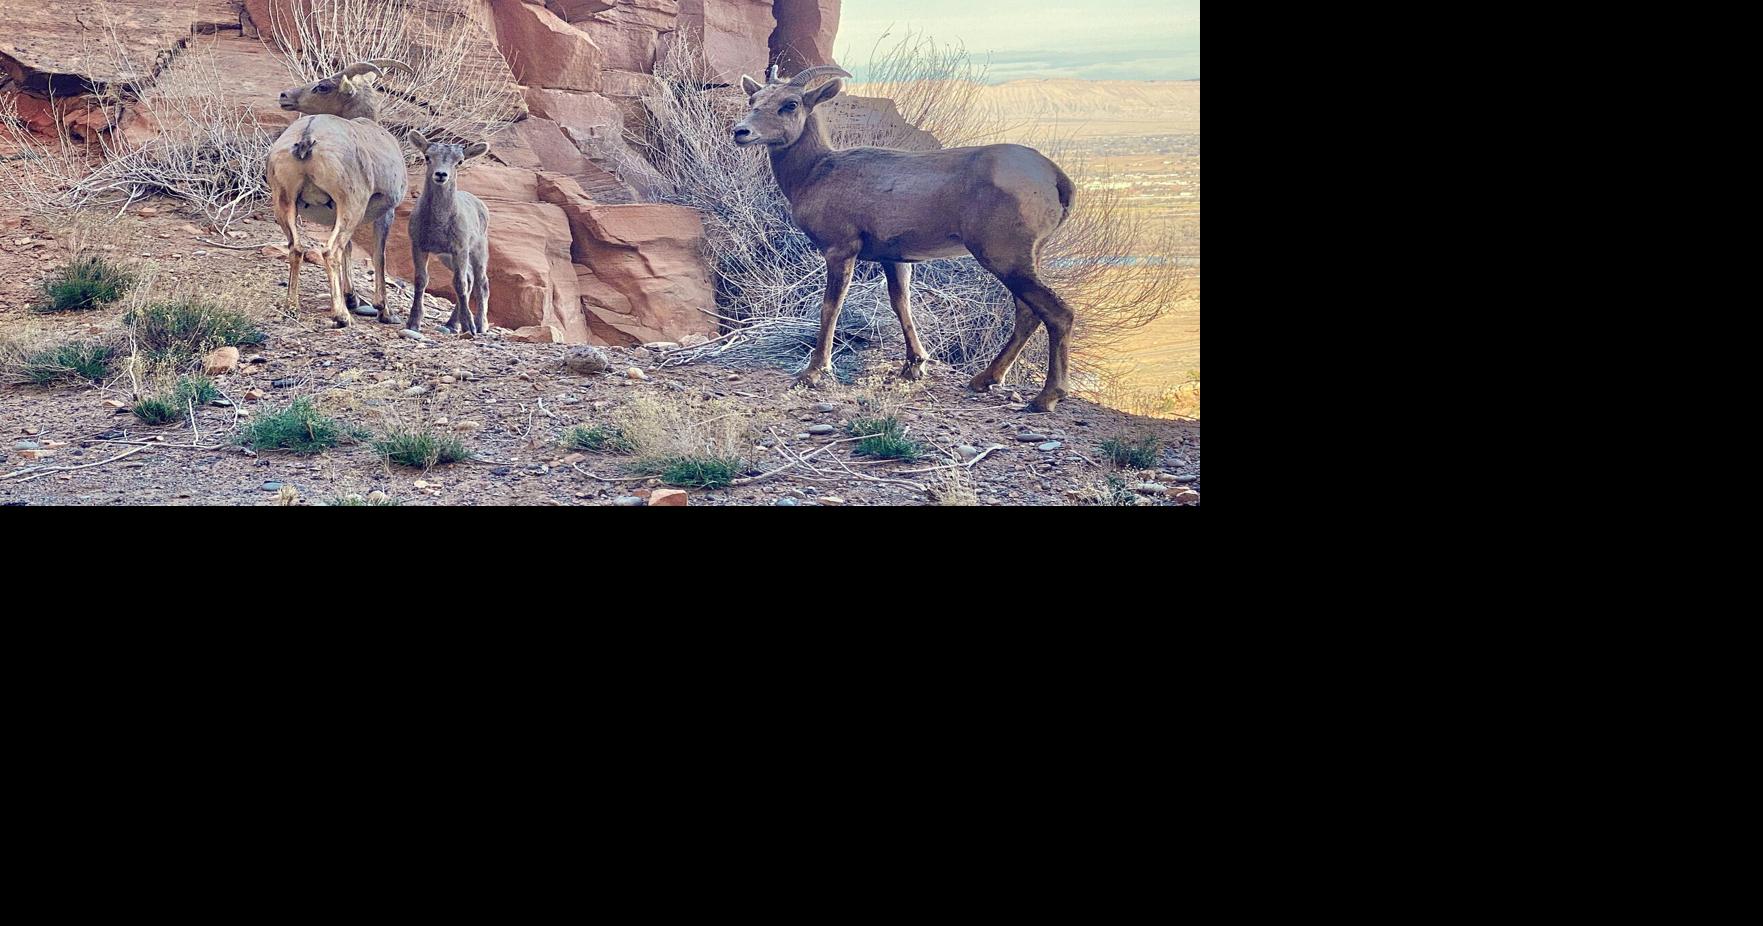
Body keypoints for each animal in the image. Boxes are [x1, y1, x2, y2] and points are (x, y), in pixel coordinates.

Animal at [266, 59, 414, 328]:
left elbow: (350, 250)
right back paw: (341, 316)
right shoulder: (384, 212)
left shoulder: (332, 213)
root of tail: (308, 136)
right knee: (330, 251)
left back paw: (292, 307)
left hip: (284, 202)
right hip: (351, 204)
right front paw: (384, 311)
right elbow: (379, 257)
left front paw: (352, 298)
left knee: (296, 248)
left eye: (322, 86)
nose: (284, 96)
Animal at [406, 133, 491, 337]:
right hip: (446, 257)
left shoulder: (460, 248)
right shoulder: (419, 246)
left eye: (459, 161)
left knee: (481, 282)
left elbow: (459, 284)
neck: (438, 225)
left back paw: (480, 325)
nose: (441, 175)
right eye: (427, 157)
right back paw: (452, 324)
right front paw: (413, 323)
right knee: (470, 278)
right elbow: (421, 280)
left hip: (478, 250)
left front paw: (469, 327)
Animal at [734, 65, 1079, 412]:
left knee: (1057, 312)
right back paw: (984, 380)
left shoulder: (840, 250)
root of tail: (1055, 178)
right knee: (1027, 314)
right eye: (753, 100)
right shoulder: (895, 259)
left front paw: (813, 373)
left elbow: (830, 307)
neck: (813, 173)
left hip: (1003, 257)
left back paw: (1045, 397)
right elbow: (901, 303)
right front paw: (914, 366)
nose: (741, 132)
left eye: (790, 104)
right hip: (1024, 258)